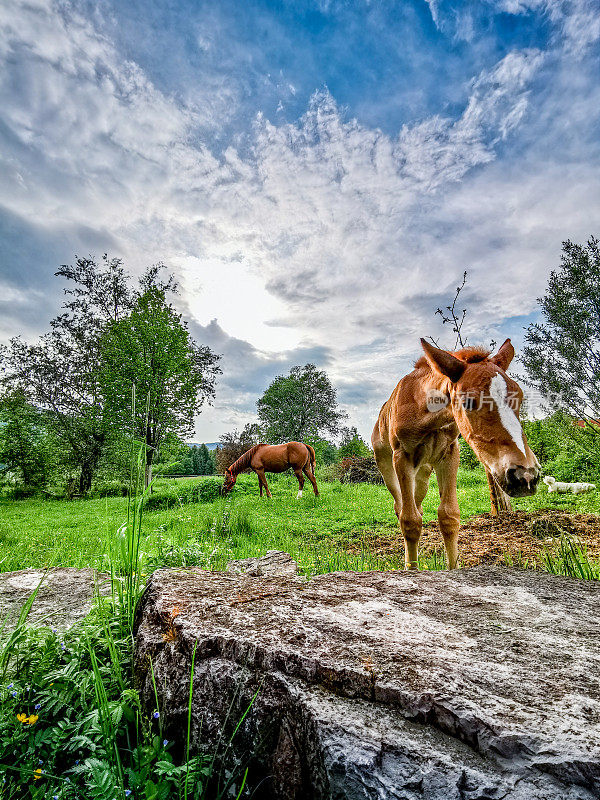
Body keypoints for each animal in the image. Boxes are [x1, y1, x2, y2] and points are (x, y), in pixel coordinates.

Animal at [372, 338, 540, 568]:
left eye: (520, 398)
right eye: (468, 401)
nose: (525, 475)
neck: (426, 414)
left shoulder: (450, 453)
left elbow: (448, 516)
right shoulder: (402, 456)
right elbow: (409, 520)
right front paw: (411, 568)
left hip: (423, 473)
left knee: (418, 505)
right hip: (388, 467)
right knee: (401, 508)